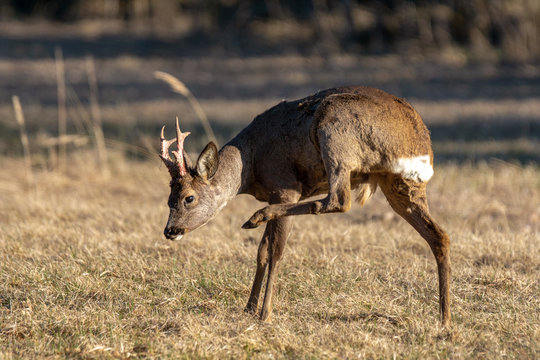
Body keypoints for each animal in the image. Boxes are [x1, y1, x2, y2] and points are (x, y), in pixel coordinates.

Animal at [160, 86, 452, 326]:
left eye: (189, 198)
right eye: (168, 199)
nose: (170, 230)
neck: (250, 163)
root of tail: (420, 144)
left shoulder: (285, 188)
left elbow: (276, 252)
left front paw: (265, 313)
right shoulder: (275, 193)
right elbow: (262, 251)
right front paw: (249, 308)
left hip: (335, 135)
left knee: (339, 200)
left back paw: (256, 216)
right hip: (401, 184)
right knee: (439, 236)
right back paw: (445, 319)